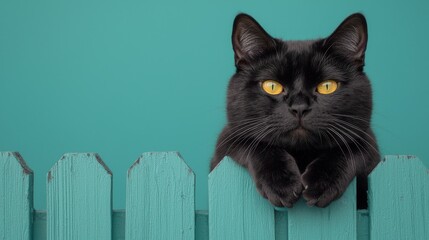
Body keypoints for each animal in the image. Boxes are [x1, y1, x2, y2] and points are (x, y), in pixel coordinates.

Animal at [209, 13, 380, 208]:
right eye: (272, 86)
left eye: (327, 86)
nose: (299, 107)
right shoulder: (229, 138)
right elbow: (256, 143)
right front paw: (281, 184)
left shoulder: (368, 143)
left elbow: (351, 147)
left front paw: (321, 183)